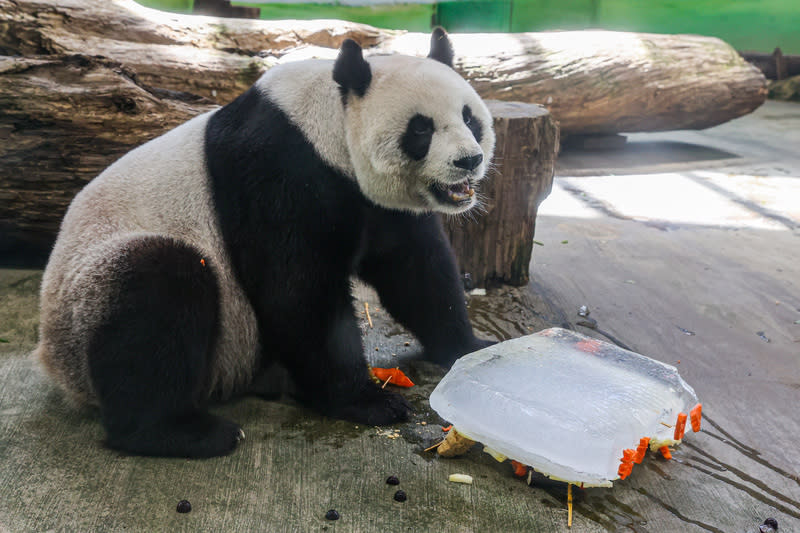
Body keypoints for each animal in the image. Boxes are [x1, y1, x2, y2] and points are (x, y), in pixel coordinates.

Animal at [36, 29, 494, 458]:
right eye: (421, 128)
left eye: (470, 119)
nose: (468, 161)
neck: (329, 125)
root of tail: (53, 364)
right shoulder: (280, 172)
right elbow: (296, 292)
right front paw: (367, 401)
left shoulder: (376, 203)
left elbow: (416, 270)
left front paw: (470, 350)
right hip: (86, 295)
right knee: (154, 296)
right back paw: (183, 432)